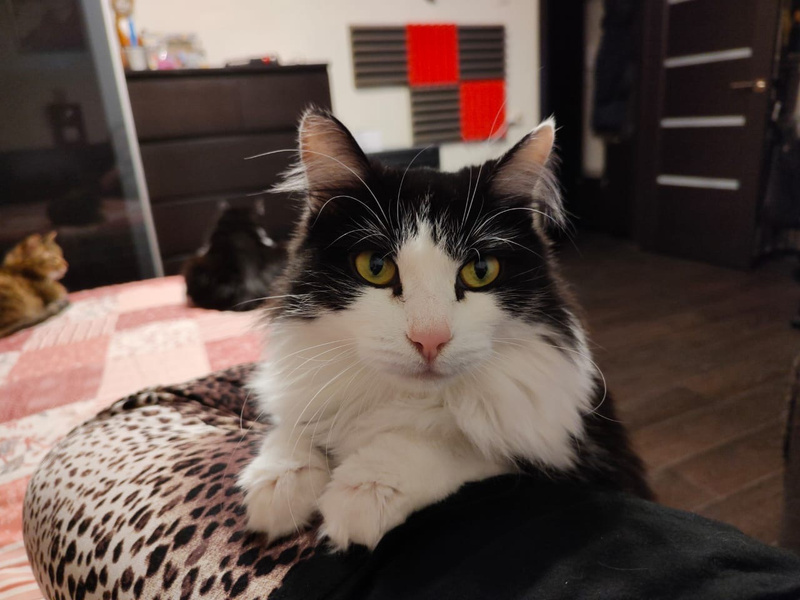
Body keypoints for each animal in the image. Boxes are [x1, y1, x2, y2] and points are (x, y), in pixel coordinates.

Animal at [239, 108, 651, 551]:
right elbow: (296, 424)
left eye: (481, 271)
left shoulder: (571, 448)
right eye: (375, 267)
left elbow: (460, 441)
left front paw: (364, 489)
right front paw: (280, 478)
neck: (406, 397)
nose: (430, 339)